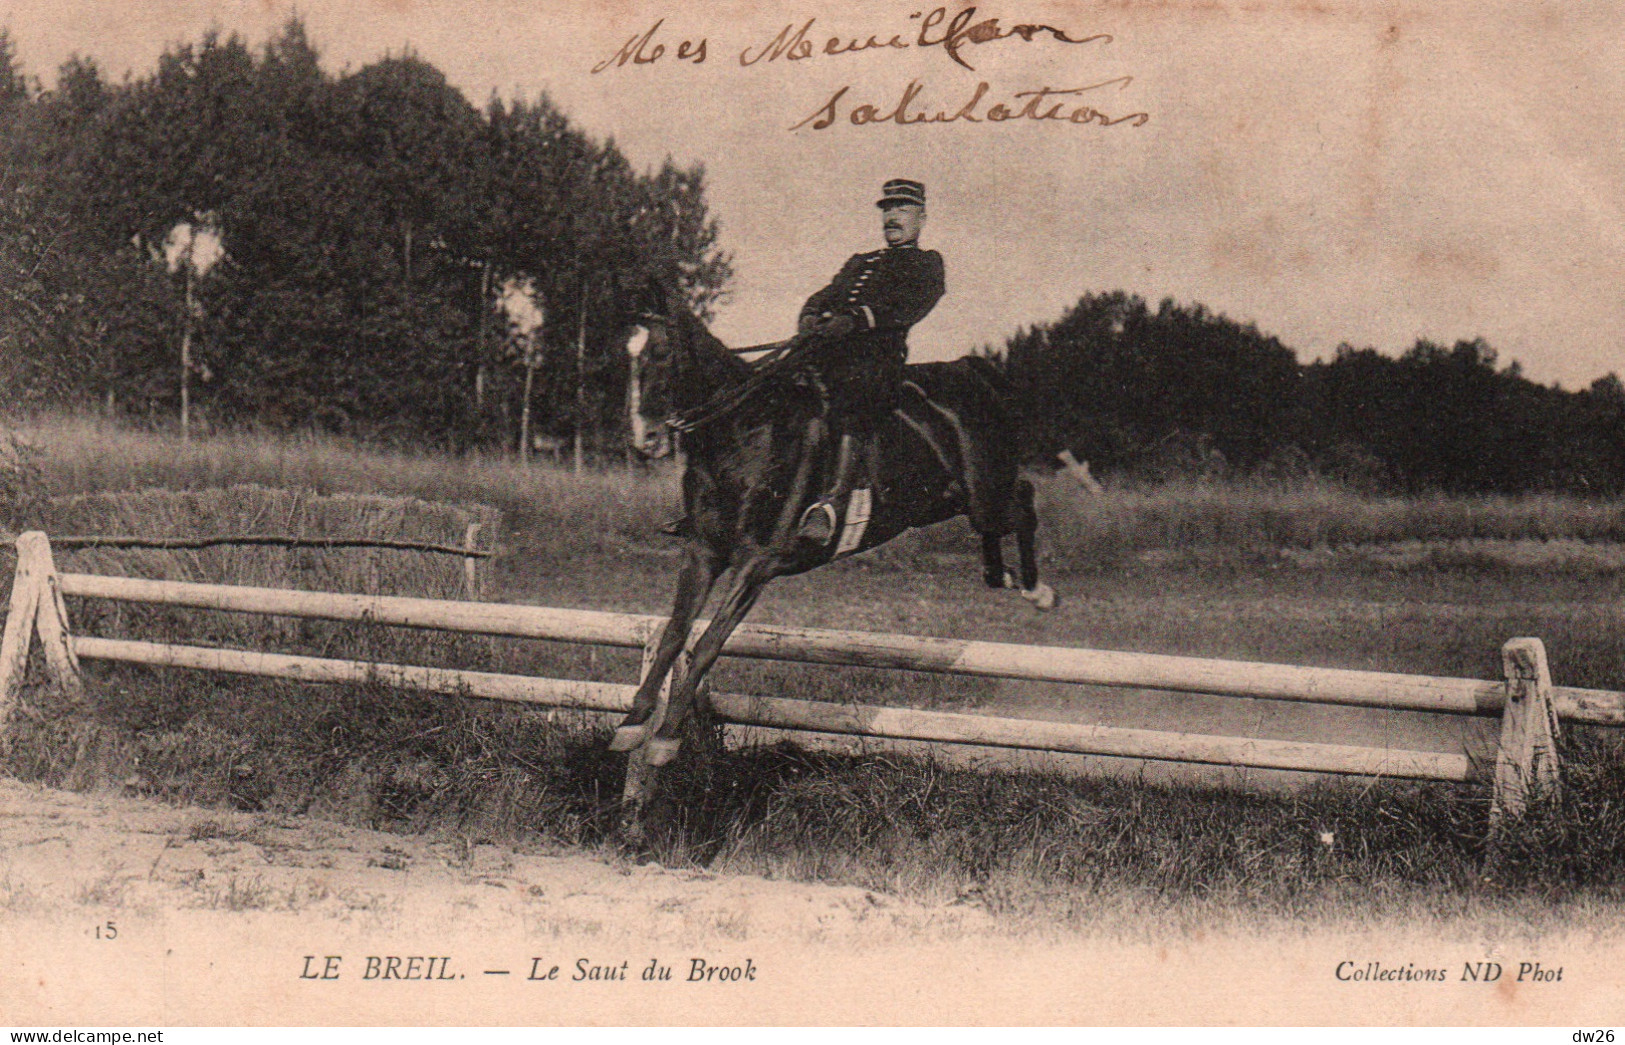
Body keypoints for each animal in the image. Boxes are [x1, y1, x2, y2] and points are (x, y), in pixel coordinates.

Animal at [611, 286, 1053, 767]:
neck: (745, 431)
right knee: (1000, 515)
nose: (644, 438)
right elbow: (675, 633)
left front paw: (666, 738)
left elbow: (707, 643)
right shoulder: (702, 551)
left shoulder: (756, 562)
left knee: (1023, 500)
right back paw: (1000, 574)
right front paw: (634, 722)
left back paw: (1036, 590)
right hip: (947, 500)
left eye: (660, 353)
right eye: (625, 357)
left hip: (986, 493)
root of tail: (968, 369)